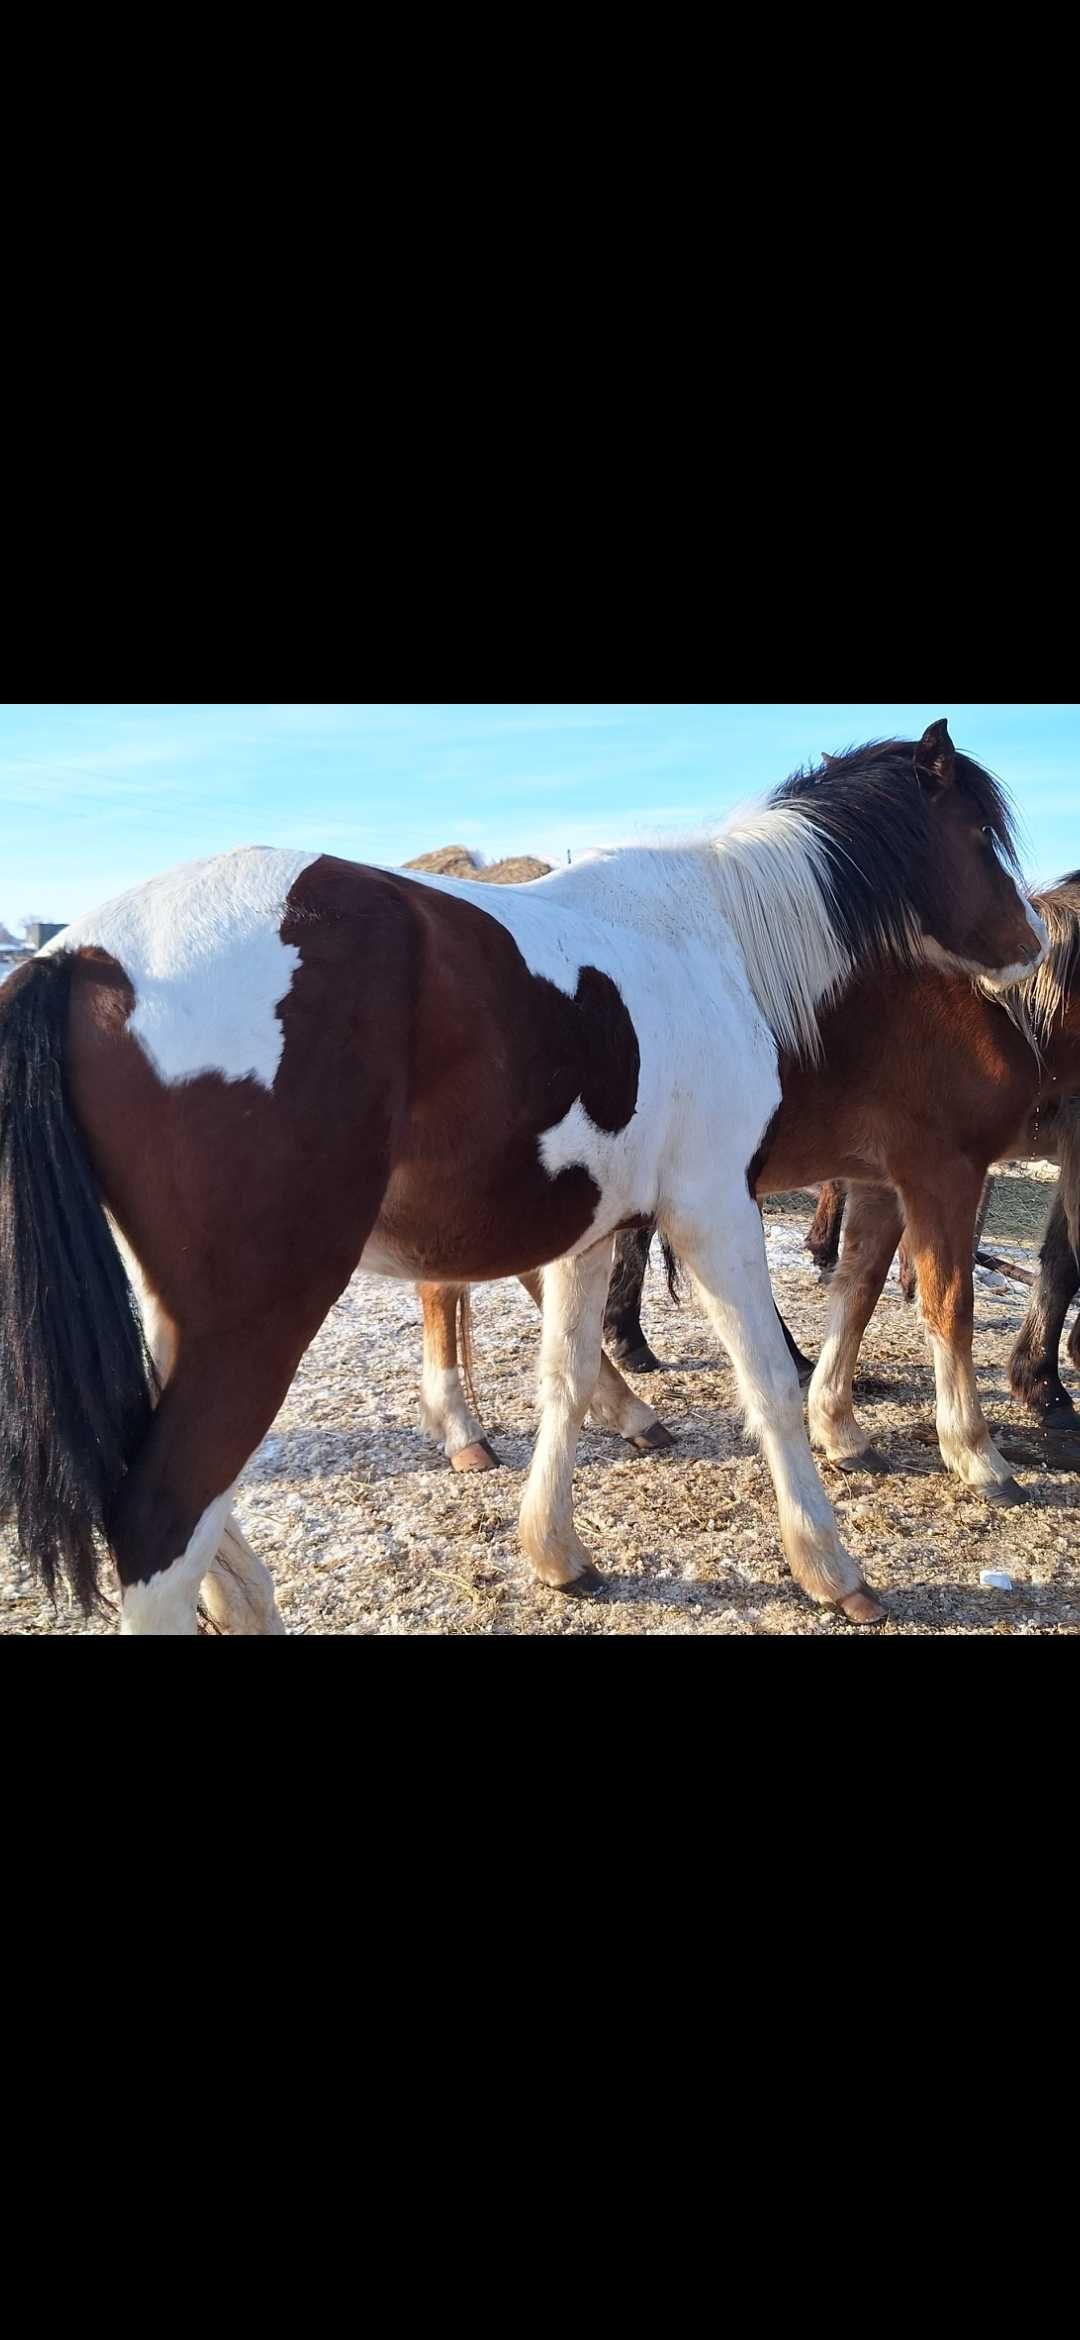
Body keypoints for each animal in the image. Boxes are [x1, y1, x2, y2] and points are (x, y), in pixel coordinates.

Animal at [0, 720, 1047, 1638]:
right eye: (979, 835)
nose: (1033, 938)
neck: (709, 933)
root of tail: (75, 955)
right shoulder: (713, 1206)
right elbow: (767, 1383)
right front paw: (832, 1567)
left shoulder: (593, 1231)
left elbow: (567, 1379)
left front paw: (557, 1552)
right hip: (259, 1317)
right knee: (162, 1516)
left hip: (182, 1316)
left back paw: (249, 1599)